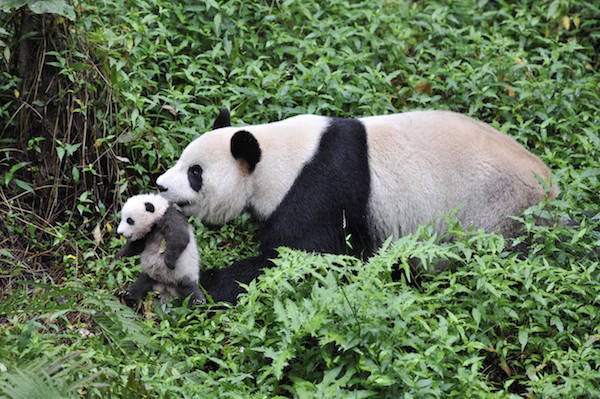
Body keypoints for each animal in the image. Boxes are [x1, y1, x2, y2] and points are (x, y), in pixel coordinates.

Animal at [156, 109, 552, 304]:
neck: (279, 157)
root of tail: (552, 190)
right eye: (181, 161)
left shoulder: (322, 188)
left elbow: (300, 258)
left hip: (494, 214)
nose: (160, 185)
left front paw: (199, 284)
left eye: (195, 173)